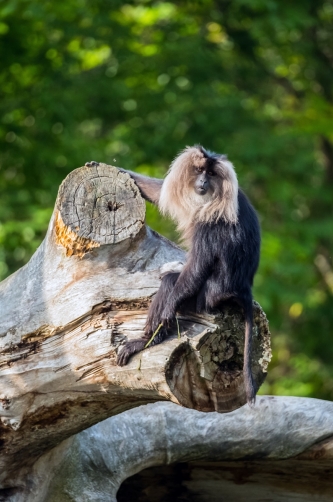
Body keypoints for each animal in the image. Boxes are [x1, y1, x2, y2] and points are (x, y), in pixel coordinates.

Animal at [116, 145, 260, 404]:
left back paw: (146, 341)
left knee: (172, 284)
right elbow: (159, 190)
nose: (203, 182)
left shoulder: (211, 220)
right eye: (200, 171)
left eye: (211, 174)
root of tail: (242, 288)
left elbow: (196, 268)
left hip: (201, 300)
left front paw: (167, 308)